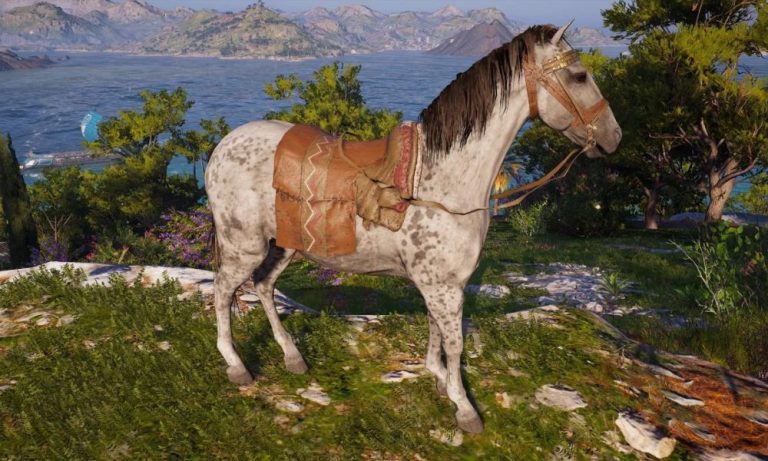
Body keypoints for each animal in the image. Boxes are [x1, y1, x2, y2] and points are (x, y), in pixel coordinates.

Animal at [205, 23, 622, 433]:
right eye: (579, 75)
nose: (613, 136)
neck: (442, 180)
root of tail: (223, 147)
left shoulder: (440, 285)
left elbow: (437, 329)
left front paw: (438, 377)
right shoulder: (443, 286)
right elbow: (454, 343)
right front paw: (464, 408)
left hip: (283, 245)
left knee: (263, 285)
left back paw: (292, 356)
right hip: (245, 246)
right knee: (223, 290)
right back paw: (236, 365)